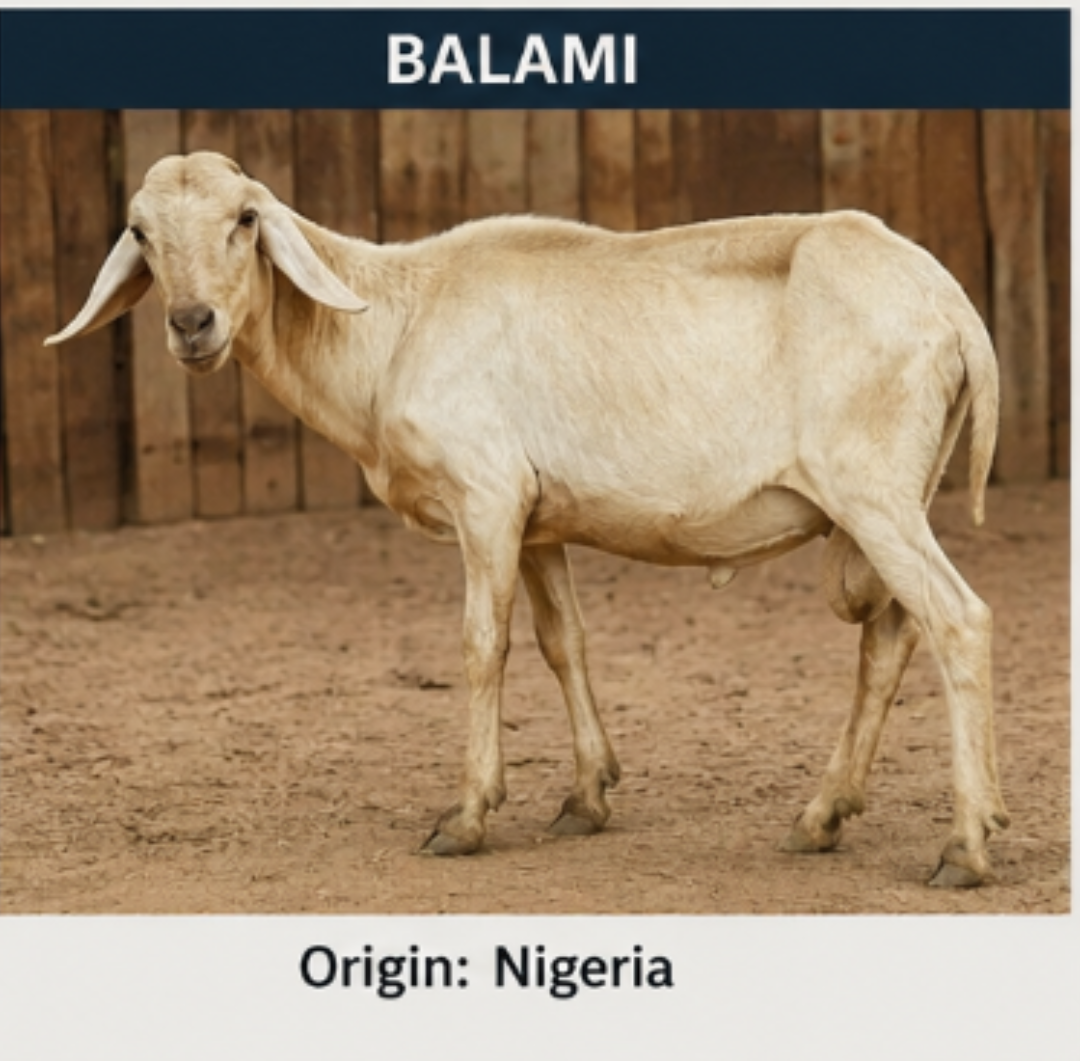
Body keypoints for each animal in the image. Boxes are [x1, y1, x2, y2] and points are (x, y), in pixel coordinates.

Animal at [47, 151, 1010, 887]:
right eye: (141, 232)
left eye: (246, 219)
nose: (191, 322)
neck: (393, 326)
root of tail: (954, 307)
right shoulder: (540, 519)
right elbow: (563, 642)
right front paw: (585, 796)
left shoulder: (486, 494)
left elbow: (483, 645)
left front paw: (467, 814)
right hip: (894, 494)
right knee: (890, 636)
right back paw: (830, 816)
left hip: (872, 486)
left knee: (959, 621)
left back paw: (962, 847)